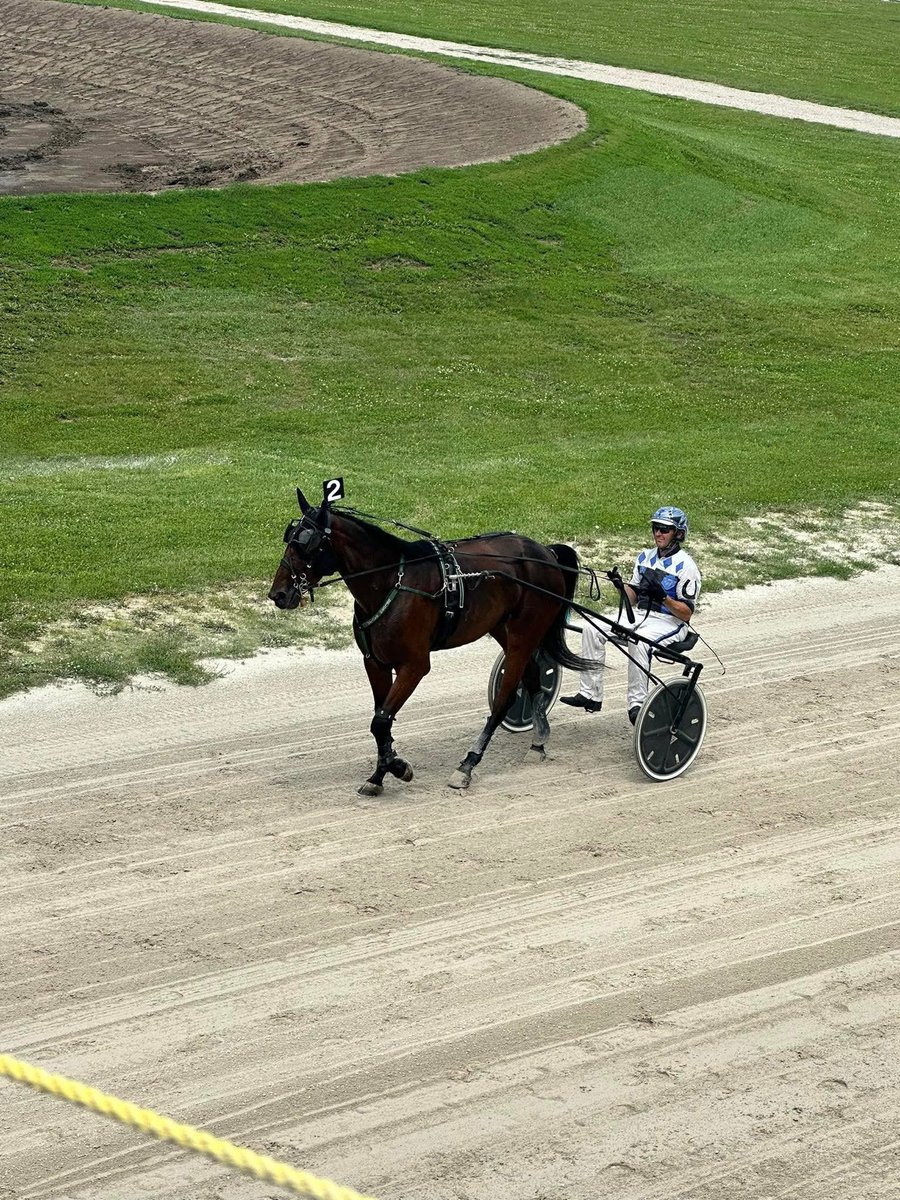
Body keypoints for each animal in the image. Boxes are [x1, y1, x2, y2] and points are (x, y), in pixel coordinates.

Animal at [268, 489, 598, 795]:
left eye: (305, 543)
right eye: (289, 537)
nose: (278, 594)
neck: (392, 582)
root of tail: (545, 552)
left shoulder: (414, 665)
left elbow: (381, 721)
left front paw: (397, 768)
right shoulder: (374, 662)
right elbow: (381, 720)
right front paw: (380, 774)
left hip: (524, 633)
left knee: (505, 700)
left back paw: (468, 764)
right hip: (502, 629)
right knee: (531, 678)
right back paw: (538, 741)